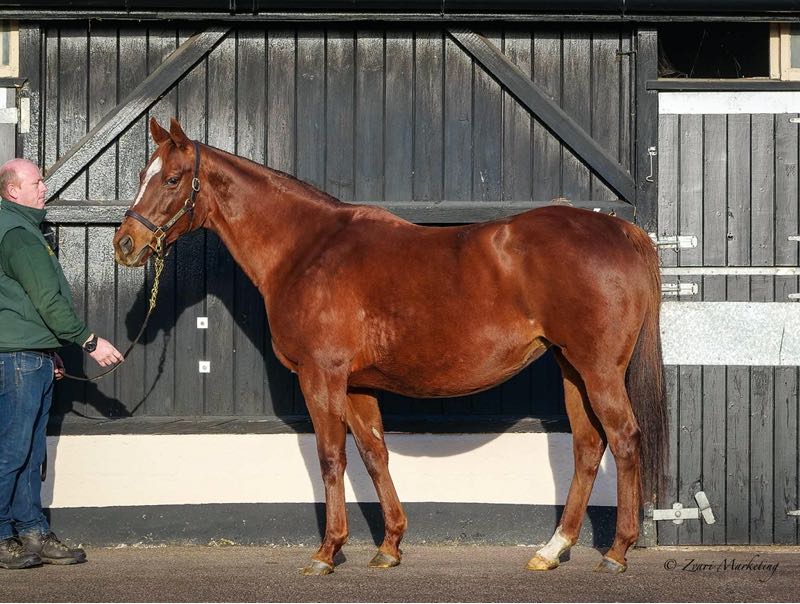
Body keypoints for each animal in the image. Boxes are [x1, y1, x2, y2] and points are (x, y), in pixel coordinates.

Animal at [113, 117, 667, 576]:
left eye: (171, 179)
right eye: (142, 172)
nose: (124, 245)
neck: (306, 250)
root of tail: (623, 229)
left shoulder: (322, 376)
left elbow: (331, 457)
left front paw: (327, 551)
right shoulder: (356, 385)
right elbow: (374, 453)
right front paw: (389, 546)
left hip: (598, 369)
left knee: (624, 438)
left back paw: (617, 551)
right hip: (571, 367)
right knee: (587, 445)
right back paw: (553, 549)